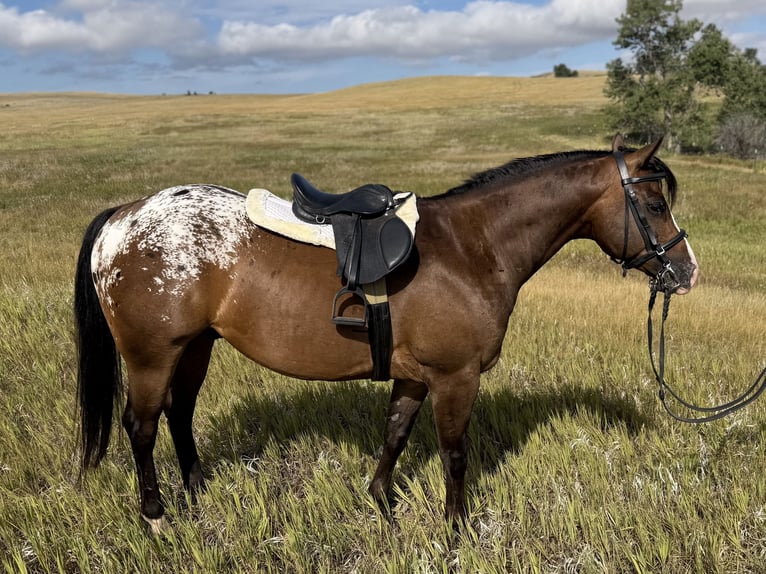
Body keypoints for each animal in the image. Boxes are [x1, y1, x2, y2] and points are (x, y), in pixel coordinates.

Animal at [74, 135, 698, 532]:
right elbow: (454, 454)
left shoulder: (416, 377)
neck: (473, 247)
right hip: (152, 356)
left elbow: (396, 434)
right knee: (141, 426)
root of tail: (123, 216)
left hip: (196, 346)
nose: (687, 272)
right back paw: (156, 515)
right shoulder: (454, 377)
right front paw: (456, 530)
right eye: (651, 203)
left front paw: (382, 503)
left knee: (179, 414)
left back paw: (196, 490)